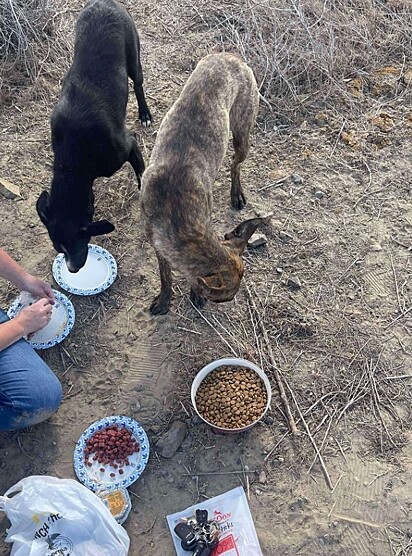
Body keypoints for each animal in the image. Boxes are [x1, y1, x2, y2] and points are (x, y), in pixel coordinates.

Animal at [37, 0, 151, 272]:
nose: (72, 269)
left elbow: (141, 173)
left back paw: (144, 113)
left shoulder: (128, 146)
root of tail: (104, 3)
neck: (72, 166)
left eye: (79, 244)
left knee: (138, 83)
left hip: (133, 54)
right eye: (59, 249)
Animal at [140, 53, 266, 314]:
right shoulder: (157, 244)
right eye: (224, 298)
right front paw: (165, 299)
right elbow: (165, 275)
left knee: (235, 165)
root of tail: (231, 56)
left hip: (242, 137)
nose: (230, 301)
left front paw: (193, 295)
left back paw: (236, 193)